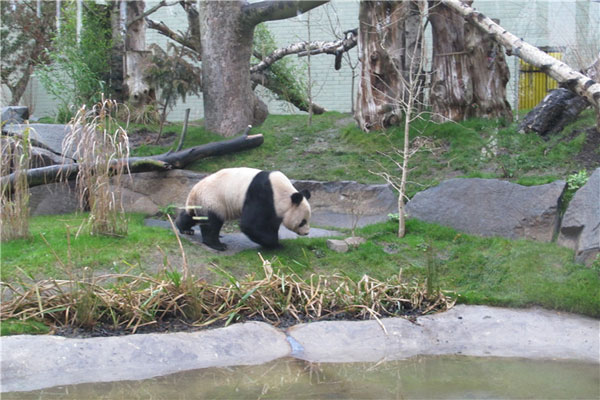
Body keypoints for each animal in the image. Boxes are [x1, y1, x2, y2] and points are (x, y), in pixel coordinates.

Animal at [176, 168, 312, 250]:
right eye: (303, 221)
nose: (306, 233)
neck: (281, 191)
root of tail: (193, 191)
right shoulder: (262, 194)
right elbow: (251, 224)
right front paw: (275, 244)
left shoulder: (274, 206)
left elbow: (271, 223)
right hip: (212, 199)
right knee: (212, 221)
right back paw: (217, 244)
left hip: (201, 201)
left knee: (191, 215)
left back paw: (184, 228)